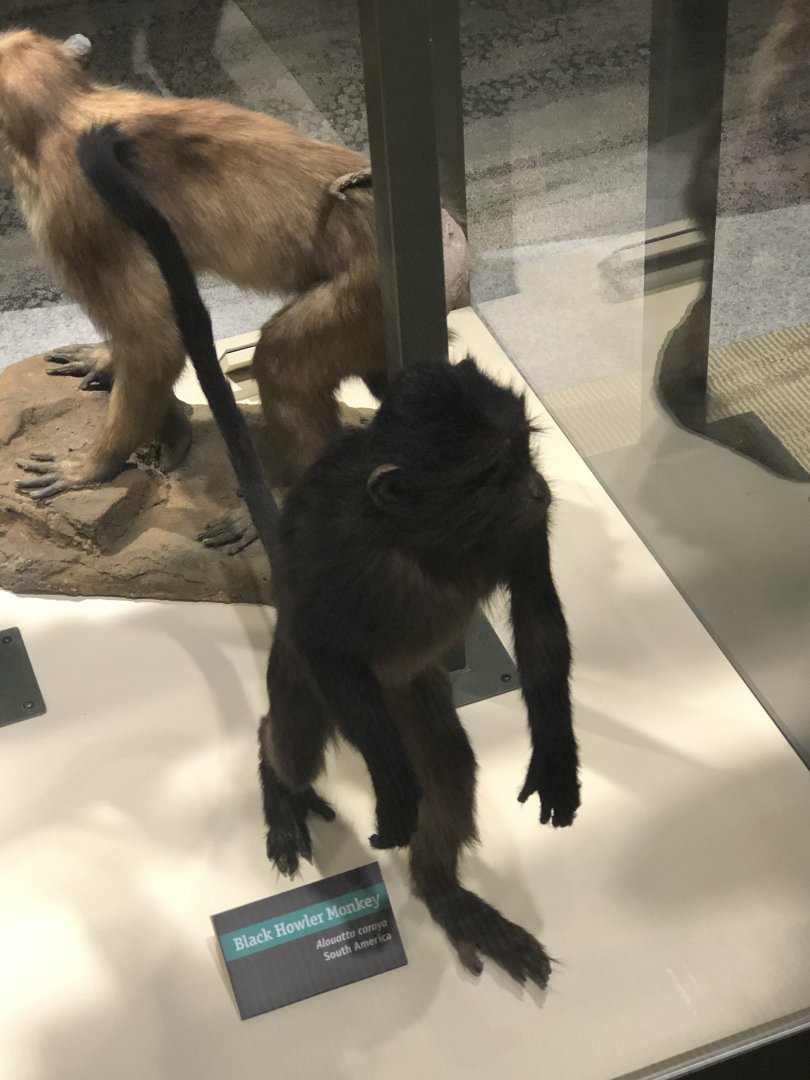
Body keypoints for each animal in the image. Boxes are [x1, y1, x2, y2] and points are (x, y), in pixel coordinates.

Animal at [78, 123, 580, 988]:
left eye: (523, 456)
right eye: (492, 473)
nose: (532, 489)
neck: (425, 539)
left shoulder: (521, 532)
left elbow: (541, 623)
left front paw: (554, 760)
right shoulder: (347, 560)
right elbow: (327, 639)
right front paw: (389, 795)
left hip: (411, 690)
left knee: (448, 764)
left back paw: (446, 894)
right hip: (317, 685)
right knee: (291, 737)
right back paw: (281, 786)